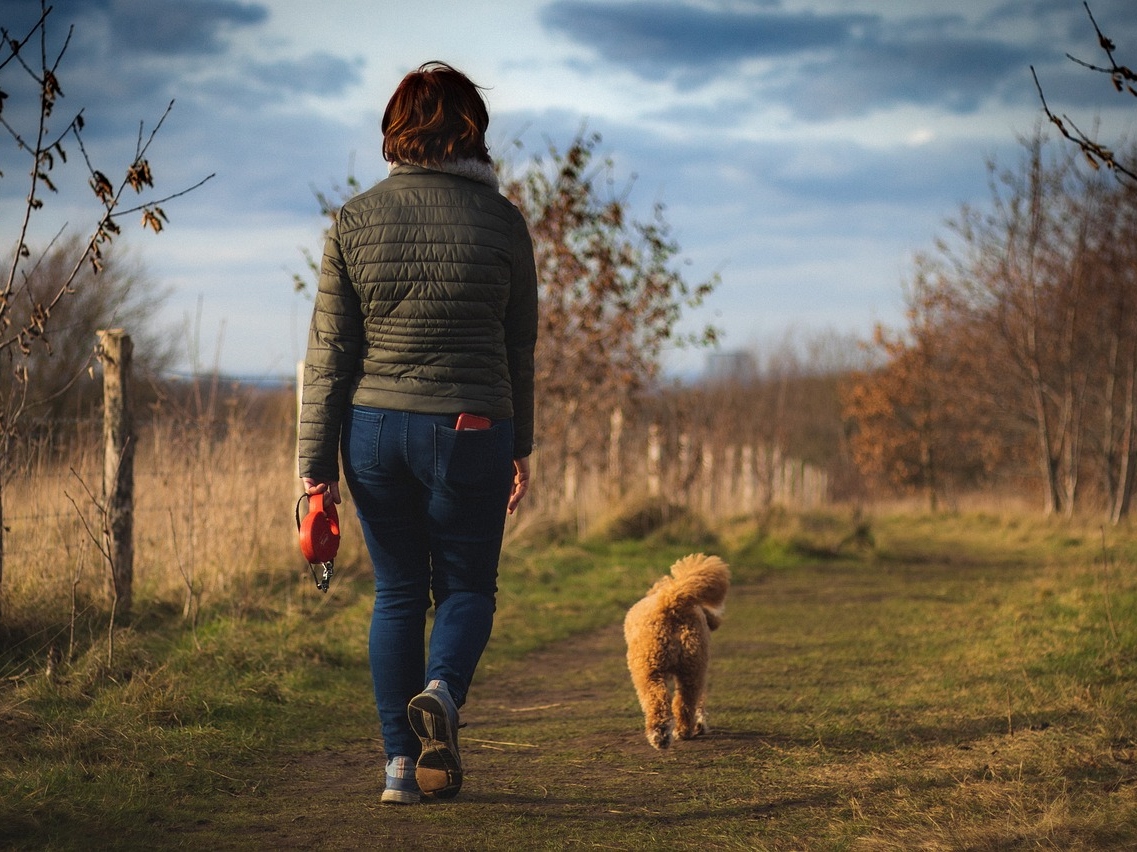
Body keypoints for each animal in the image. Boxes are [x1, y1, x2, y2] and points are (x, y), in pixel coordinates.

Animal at [623, 552, 727, 746]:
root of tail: (671, 602)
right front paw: (700, 725)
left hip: (648, 670)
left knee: (657, 702)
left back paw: (660, 734)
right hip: (692, 668)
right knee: (685, 702)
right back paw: (682, 731)